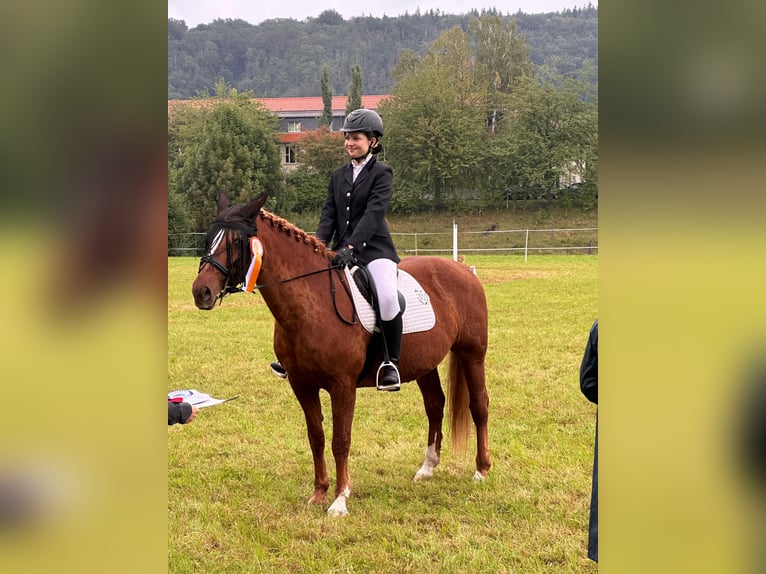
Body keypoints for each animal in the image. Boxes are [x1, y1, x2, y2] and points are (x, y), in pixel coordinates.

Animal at [191, 192, 491, 516]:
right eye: (209, 237)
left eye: (235, 242)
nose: (201, 292)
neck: (313, 301)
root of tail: (463, 269)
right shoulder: (302, 385)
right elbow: (316, 437)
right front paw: (319, 493)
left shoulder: (342, 386)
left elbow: (340, 440)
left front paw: (339, 500)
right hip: (425, 364)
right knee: (435, 405)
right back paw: (427, 468)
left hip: (472, 354)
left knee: (479, 405)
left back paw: (481, 470)